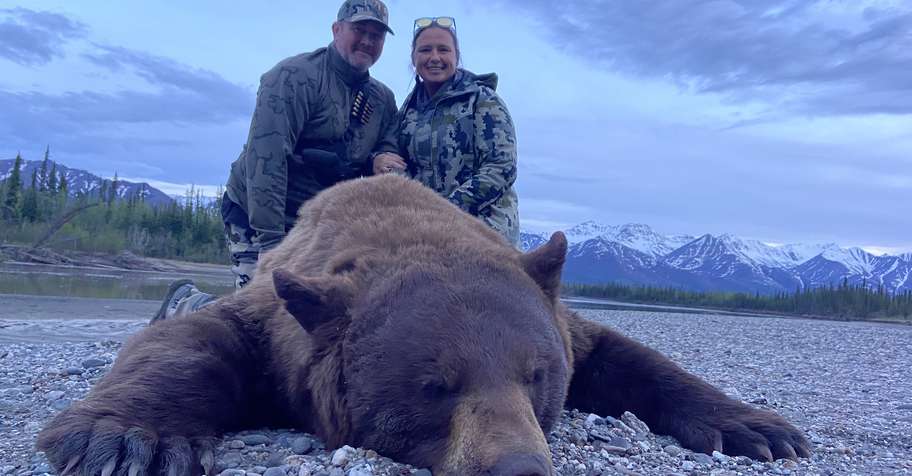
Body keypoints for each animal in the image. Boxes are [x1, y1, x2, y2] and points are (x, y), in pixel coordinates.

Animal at [37, 174, 809, 476]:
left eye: (538, 376)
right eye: (435, 384)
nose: (519, 466)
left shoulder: (560, 319)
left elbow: (625, 355)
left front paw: (758, 427)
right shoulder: (277, 323)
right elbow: (192, 343)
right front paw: (128, 438)